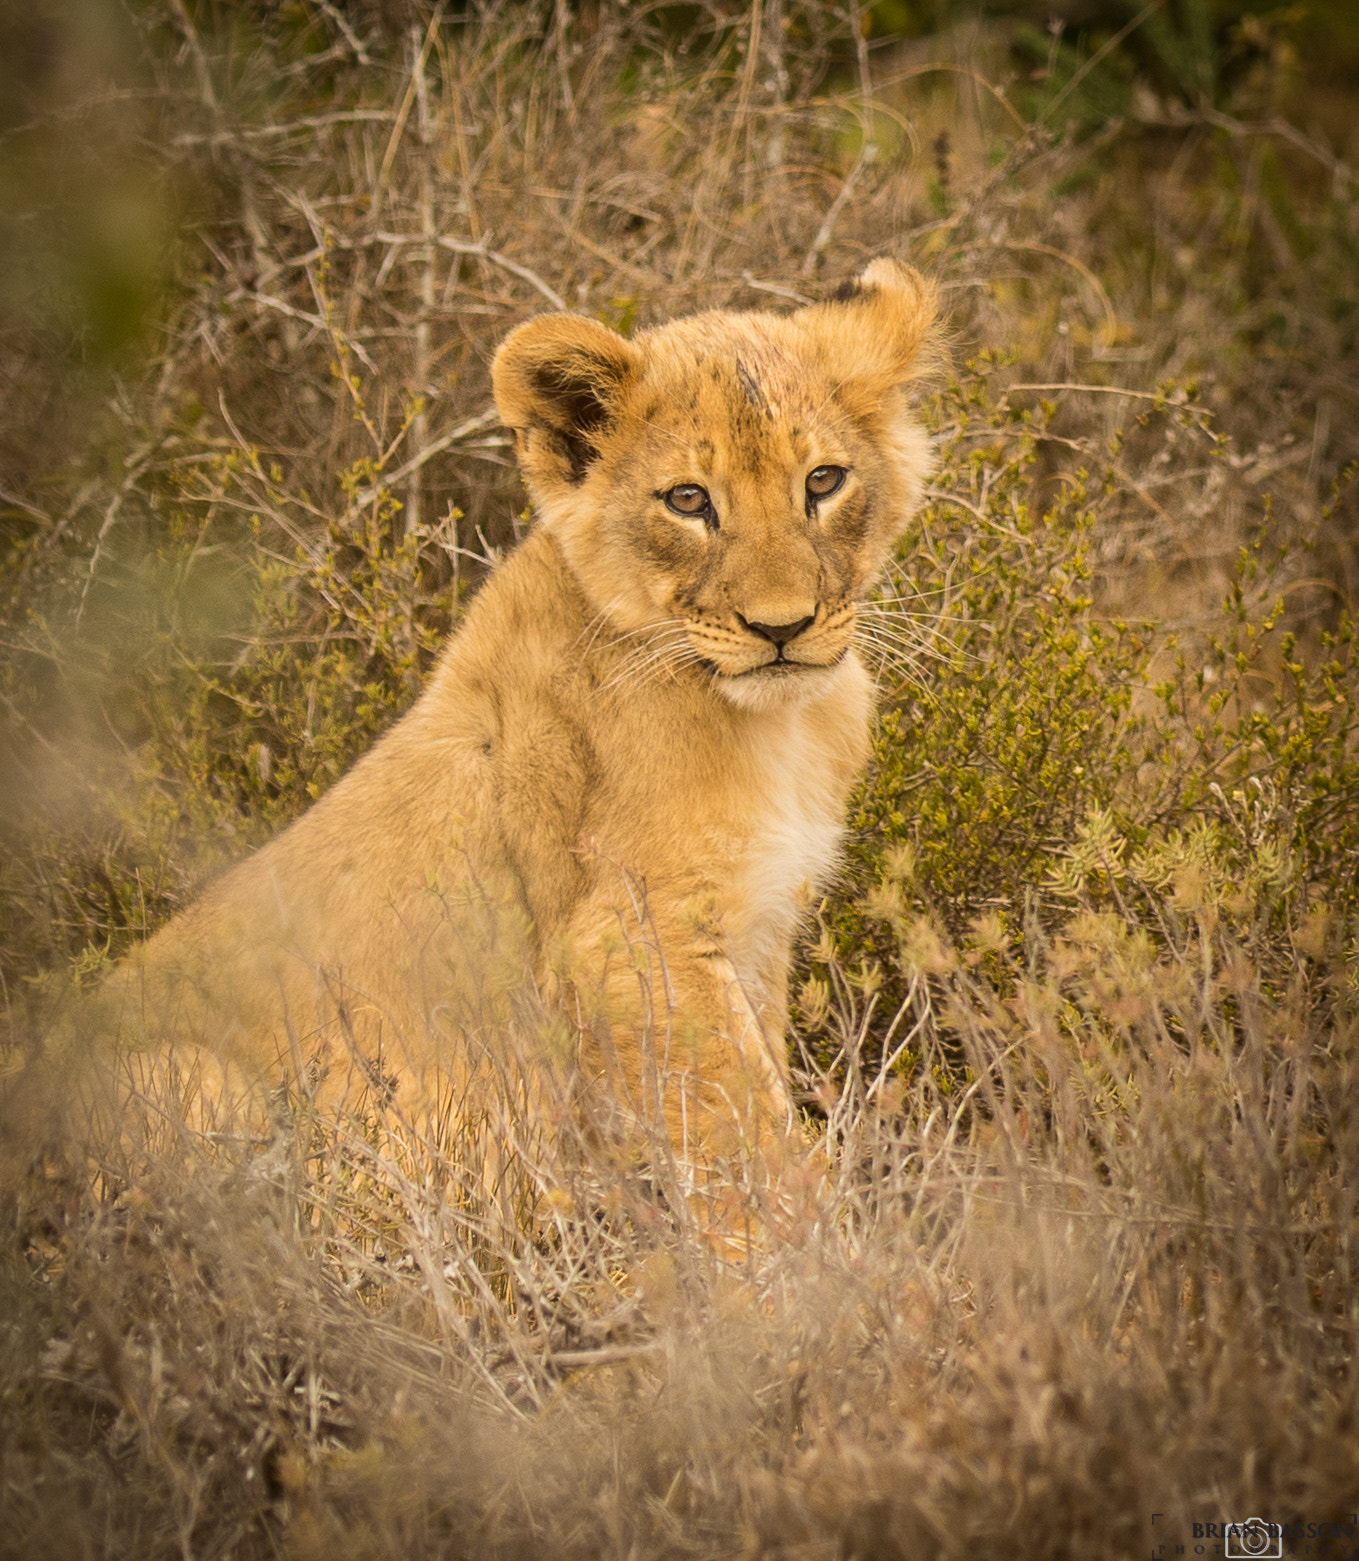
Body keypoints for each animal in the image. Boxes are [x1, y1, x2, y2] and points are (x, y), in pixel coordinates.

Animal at [91, 258, 938, 1223]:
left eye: (823, 482)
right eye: (688, 500)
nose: (781, 626)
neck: (779, 723)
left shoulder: (756, 933)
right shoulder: (629, 942)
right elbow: (748, 1140)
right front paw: (820, 1257)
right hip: (193, 1080)